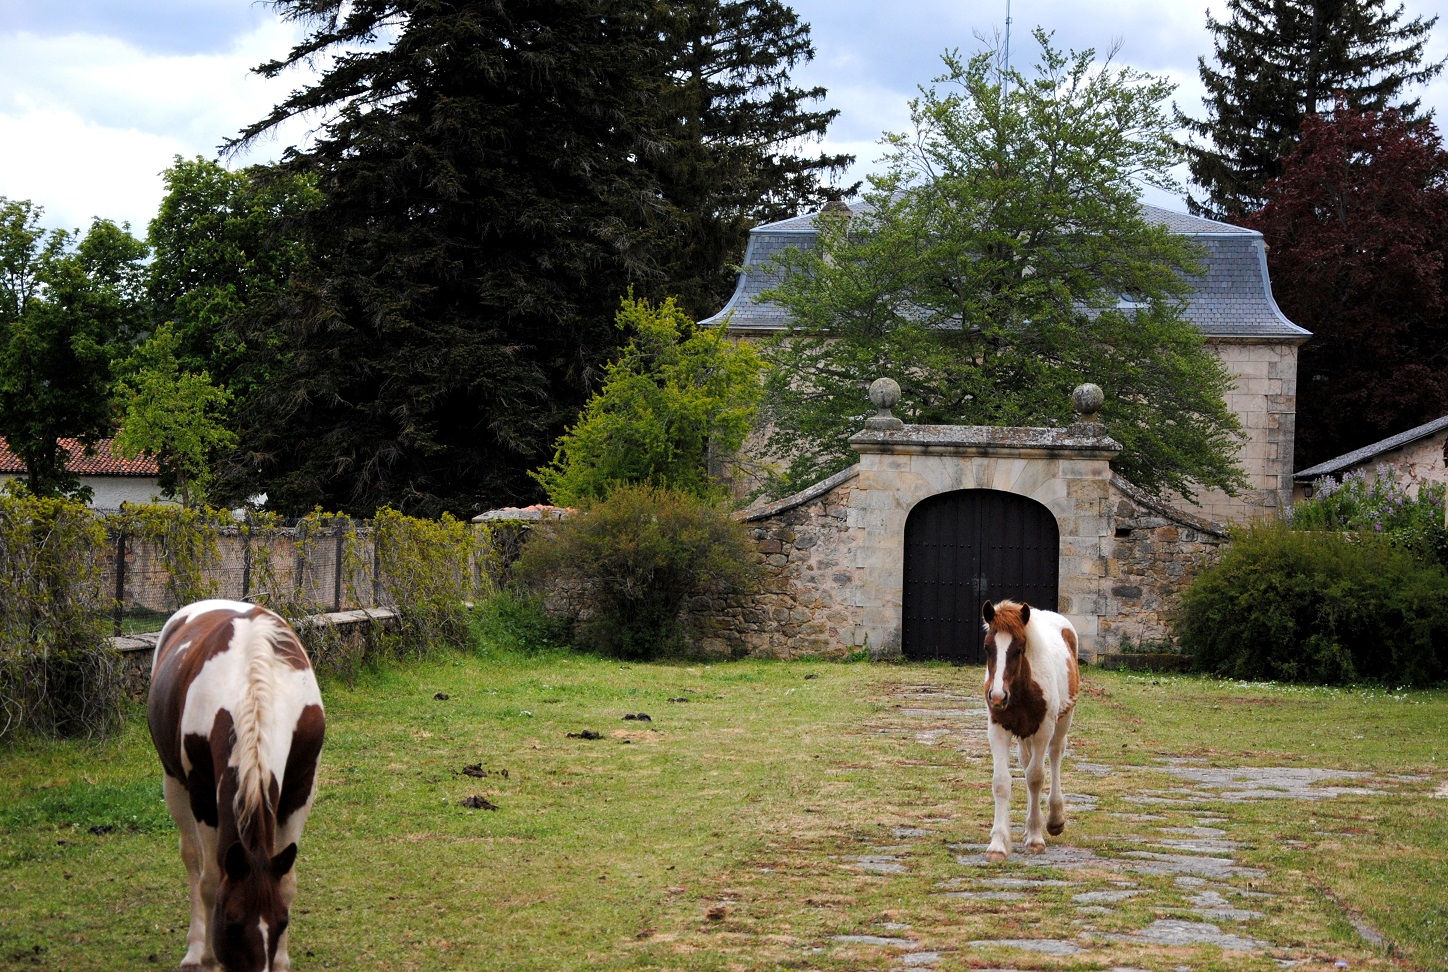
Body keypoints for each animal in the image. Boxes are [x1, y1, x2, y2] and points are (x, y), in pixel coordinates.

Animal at [146, 599, 325, 972]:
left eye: (283, 920)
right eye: (230, 922)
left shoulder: (300, 790)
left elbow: (287, 882)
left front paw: (282, 960)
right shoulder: (203, 793)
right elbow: (211, 881)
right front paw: (210, 958)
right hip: (175, 784)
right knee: (192, 858)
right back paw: (194, 949)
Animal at [978, 596, 1083, 863]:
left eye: (1019, 648)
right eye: (987, 647)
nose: (997, 696)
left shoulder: (1043, 728)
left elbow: (1036, 777)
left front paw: (1036, 838)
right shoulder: (998, 728)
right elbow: (1002, 781)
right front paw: (998, 844)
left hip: (1062, 721)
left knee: (1055, 755)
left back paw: (1054, 819)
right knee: (1026, 763)